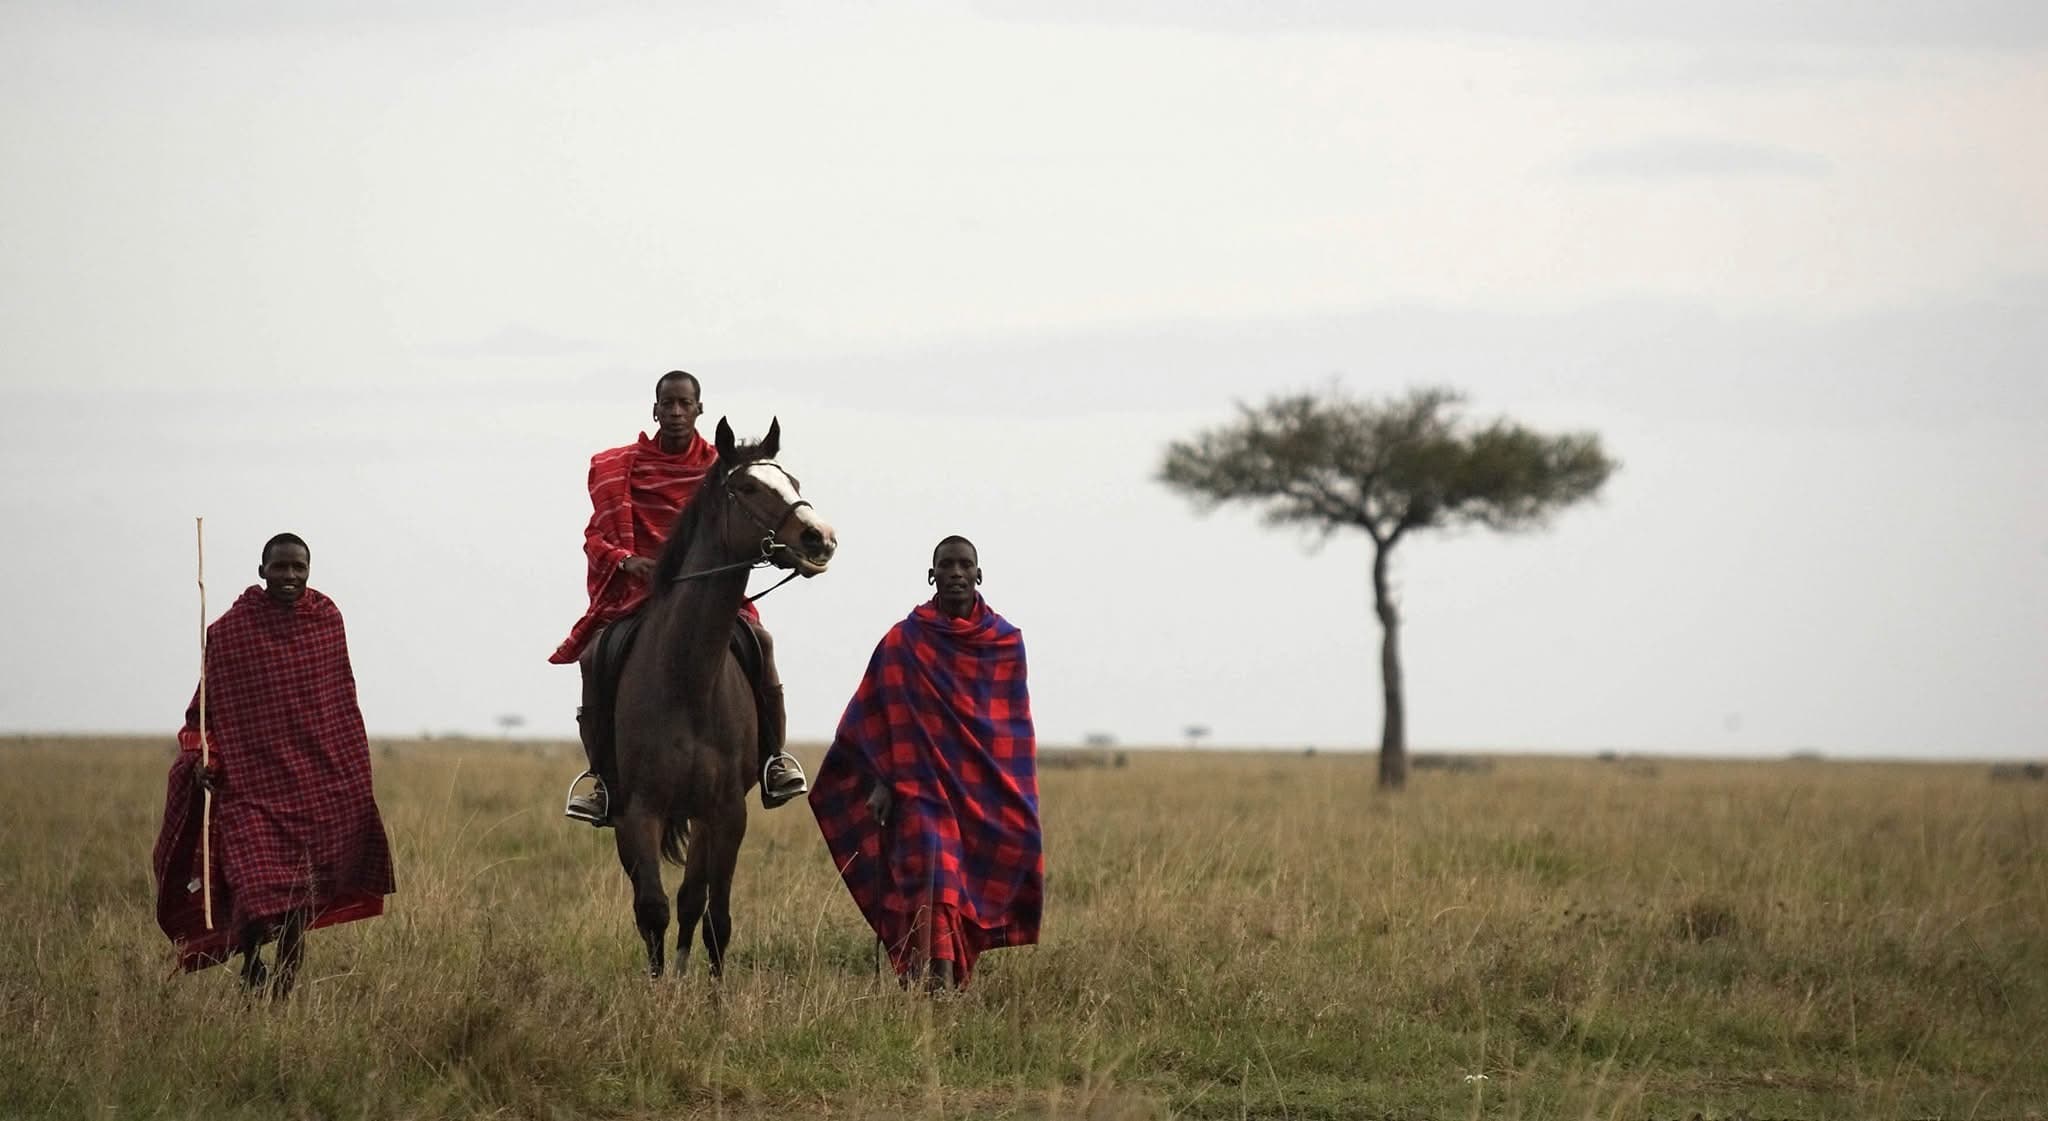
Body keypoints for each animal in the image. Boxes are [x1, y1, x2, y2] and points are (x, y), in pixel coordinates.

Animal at [608, 417, 837, 977]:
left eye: (794, 483)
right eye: (749, 488)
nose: (820, 538)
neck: (687, 677)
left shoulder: (727, 812)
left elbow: (715, 916)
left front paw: (708, 993)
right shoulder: (638, 810)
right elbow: (651, 908)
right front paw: (656, 987)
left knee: (693, 897)